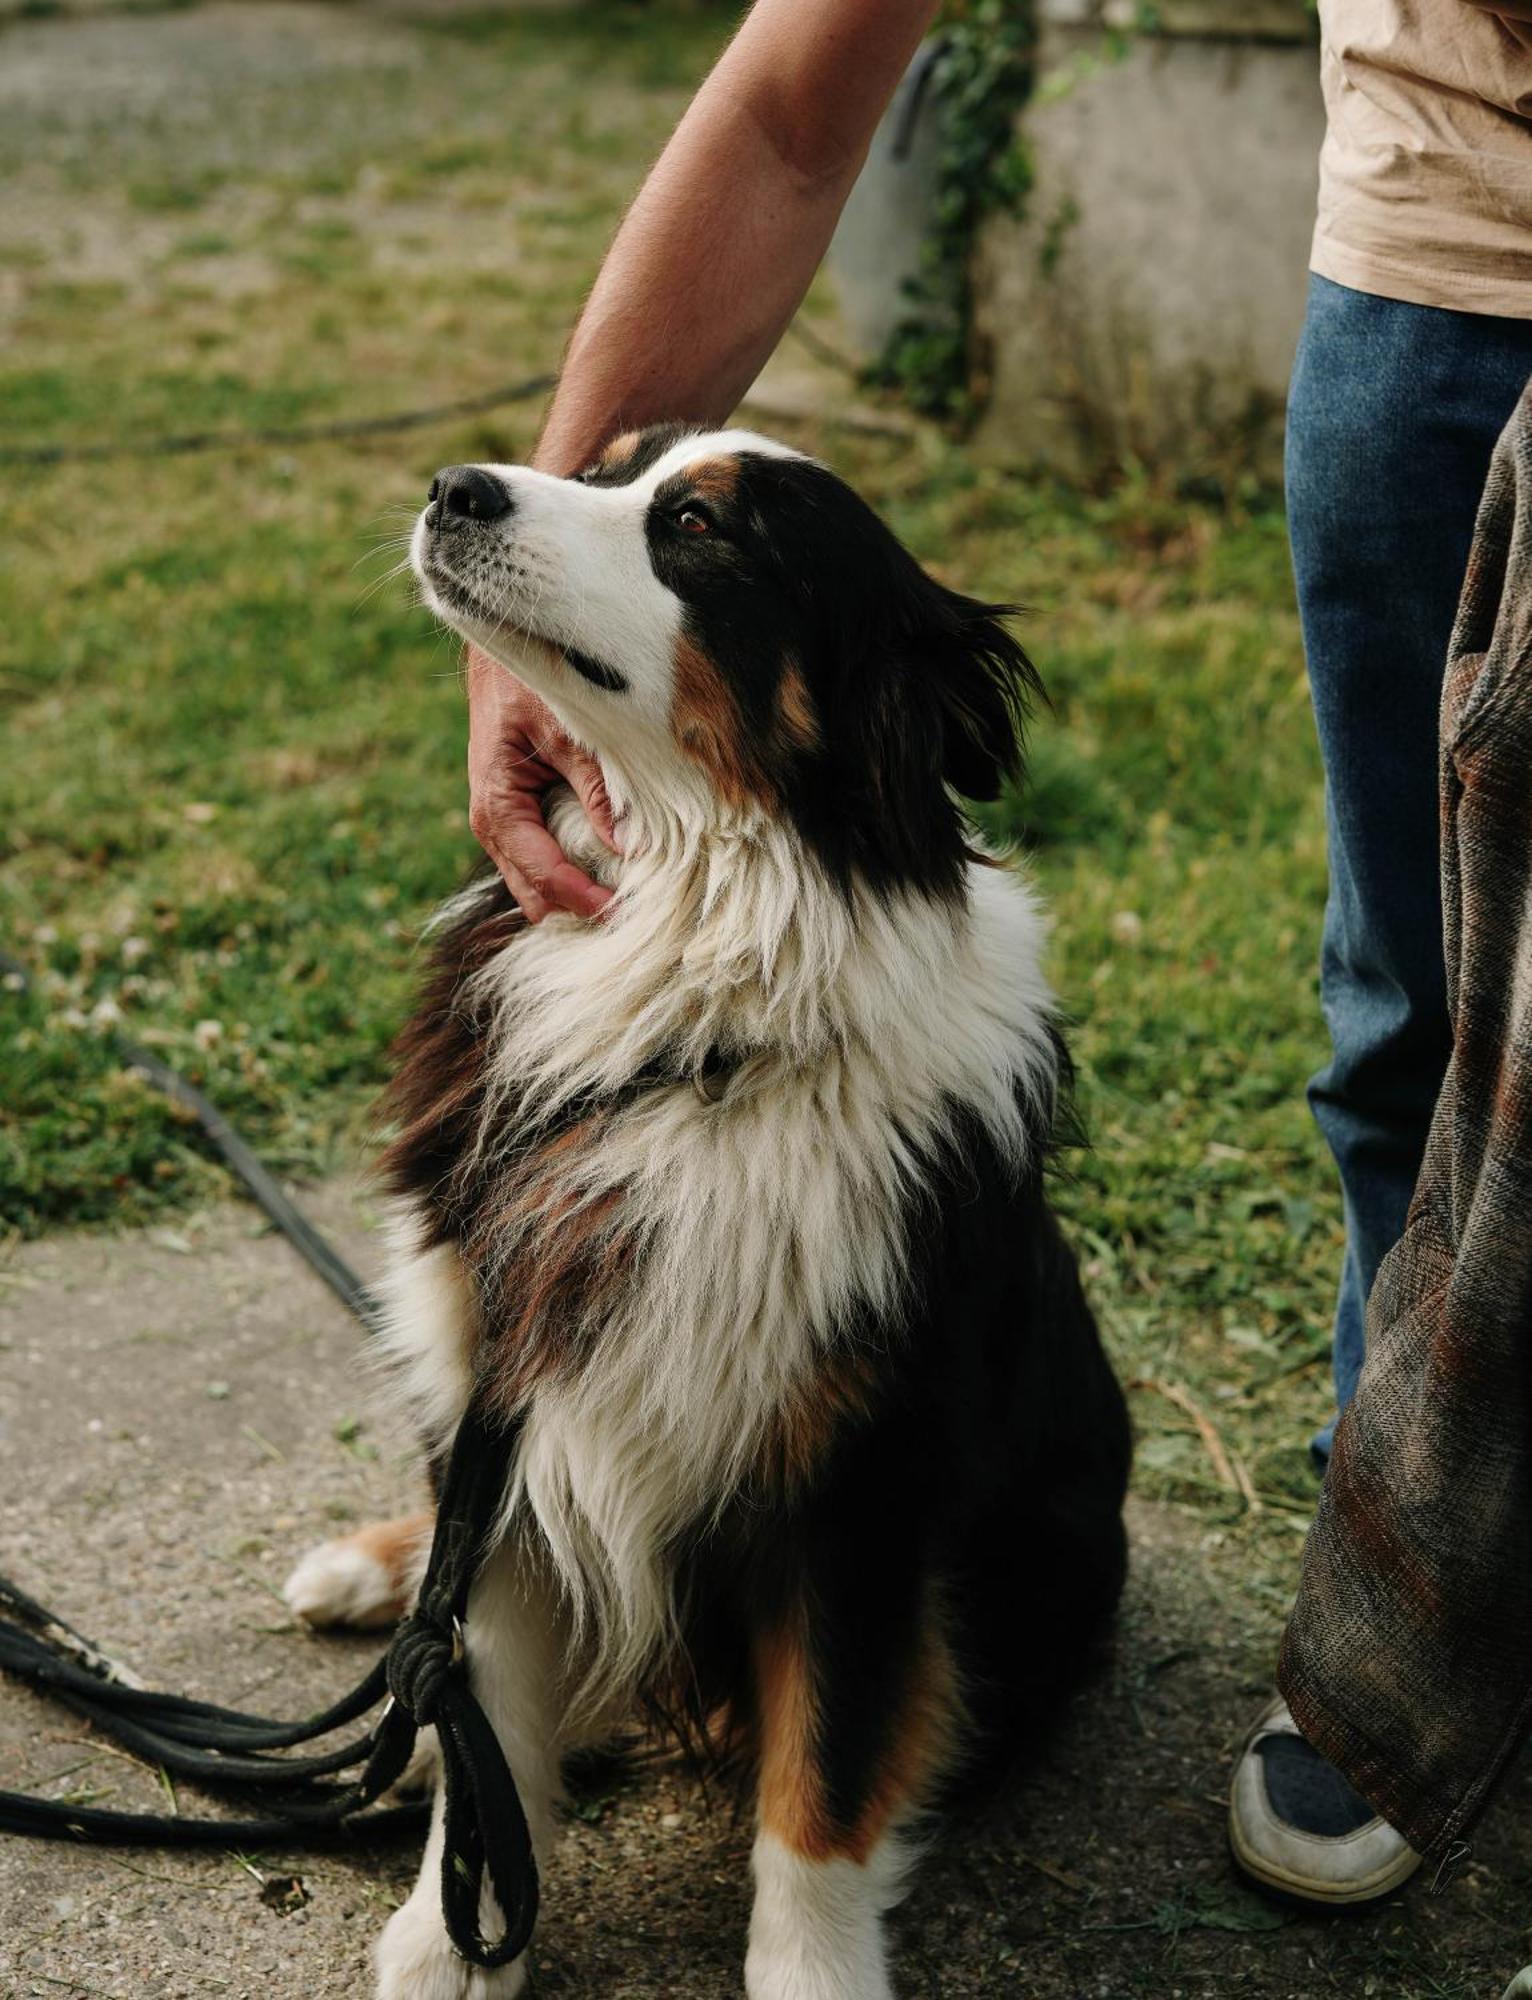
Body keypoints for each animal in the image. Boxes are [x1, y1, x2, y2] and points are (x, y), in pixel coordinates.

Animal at [284, 426, 1128, 2000]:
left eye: (698, 530)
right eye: (604, 467)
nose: (453, 487)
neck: (691, 1015)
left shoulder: (859, 1483)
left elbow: (824, 1781)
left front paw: (810, 1975)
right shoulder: (512, 1396)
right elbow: (478, 1711)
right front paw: (455, 1937)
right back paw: (369, 1572)